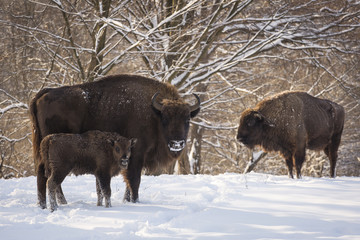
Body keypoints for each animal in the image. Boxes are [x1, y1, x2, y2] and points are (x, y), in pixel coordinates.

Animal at [29, 73, 201, 204]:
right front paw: (135, 201)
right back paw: (60, 202)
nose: (177, 143)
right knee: (51, 178)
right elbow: (134, 180)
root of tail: (44, 94)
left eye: (187, 119)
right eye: (165, 119)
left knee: (43, 175)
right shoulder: (136, 155)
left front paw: (127, 200)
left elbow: (128, 184)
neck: (153, 113)